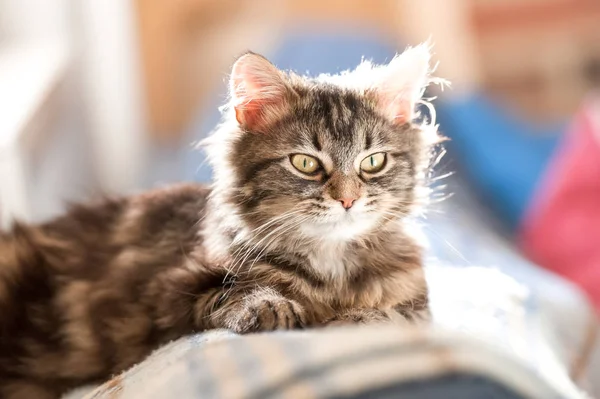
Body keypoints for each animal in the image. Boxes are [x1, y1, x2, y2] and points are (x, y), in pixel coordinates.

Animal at [1, 44, 446, 399]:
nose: (348, 199)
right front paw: (269, 306)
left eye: (373, 162)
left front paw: (355, 320)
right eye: (305, 163)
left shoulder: (417, 302)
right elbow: (228, 294)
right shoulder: (169, 296)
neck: (331, 264)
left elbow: (396, 316)